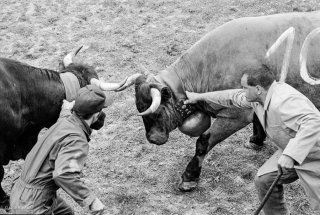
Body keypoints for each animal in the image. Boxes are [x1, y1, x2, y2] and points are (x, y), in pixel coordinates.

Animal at [116, 10, 320, 191]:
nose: (152, 138)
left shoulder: (235, 115)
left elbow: (203, 142)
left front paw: (189, 178)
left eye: (156, 110)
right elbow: (258, 120)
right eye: (139, 107)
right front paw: (255, 140)